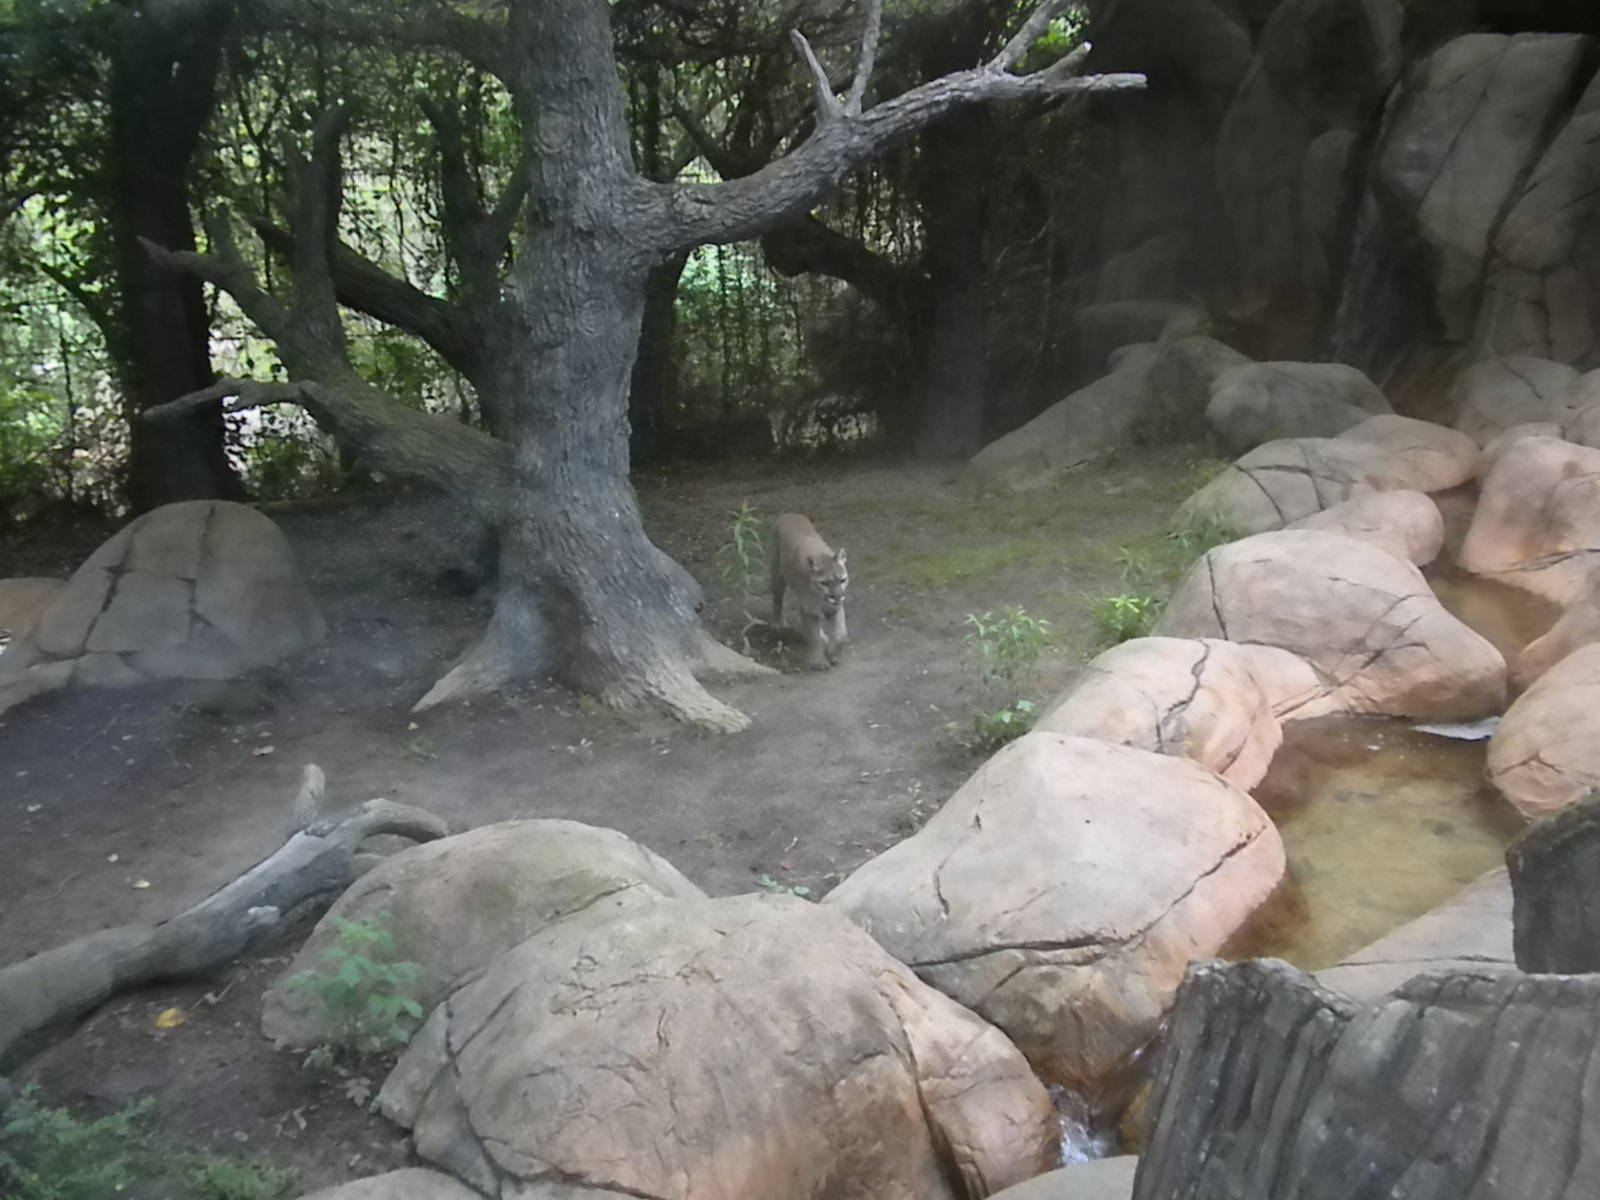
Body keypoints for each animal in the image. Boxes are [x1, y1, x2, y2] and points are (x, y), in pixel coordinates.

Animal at [769, 513, 849, 670]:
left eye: (843, 580)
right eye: (824, 583)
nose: (837, 597)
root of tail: (789, 514)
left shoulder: (834, 608)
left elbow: (841, 635)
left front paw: (832, 653)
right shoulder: (808, 611)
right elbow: (814, 636)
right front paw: (818, 662)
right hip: (777, 576)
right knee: (777, 598)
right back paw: (778, 623)